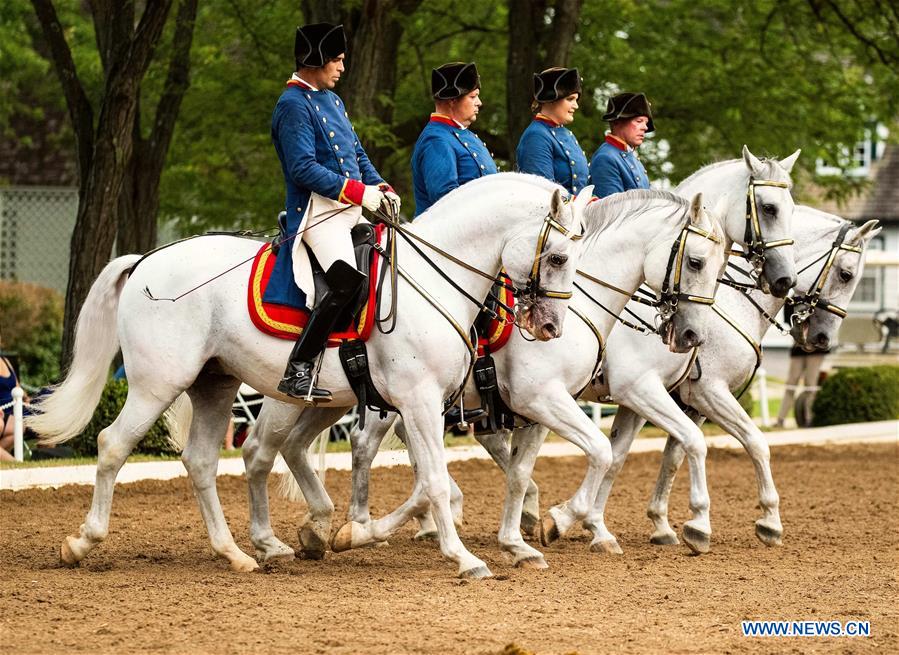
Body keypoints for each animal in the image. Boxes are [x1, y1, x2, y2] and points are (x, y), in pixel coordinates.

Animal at [28, 173, 592, 580]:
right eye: (559, 256)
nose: (549, 327)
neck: (434, 281)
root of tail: (147, 260)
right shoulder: (422, 403)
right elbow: (435, 481)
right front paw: (467, 558)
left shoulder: (430, 406)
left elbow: (445, 481)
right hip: (158, 384)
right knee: (114, 445)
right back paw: (82, 542)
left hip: (217, 384)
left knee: (205, 460)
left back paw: (239, 552)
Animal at [274, 187, 732, 568]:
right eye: (696, 262)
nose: (692, 336)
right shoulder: (566, 396)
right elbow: (612, 451)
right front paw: (562, 520)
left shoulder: (543, 410)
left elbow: (524, 472)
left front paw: (520, 541)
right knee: (339, 445)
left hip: (349, 401)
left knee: (306, 447)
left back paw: (332, 529)